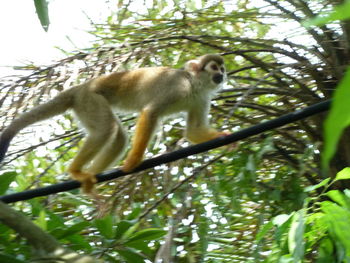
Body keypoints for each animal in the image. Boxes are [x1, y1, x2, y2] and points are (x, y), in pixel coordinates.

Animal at [0, 53, 228, 195]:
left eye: (222, 69)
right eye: (214, 67)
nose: (221, 74)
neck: (194, 84)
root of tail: (80, 88)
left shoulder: (202, 98)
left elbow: (194, 130)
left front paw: (221, 137)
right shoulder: (177, 87)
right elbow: (150, 113)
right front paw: (134, 160)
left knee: (117, 136)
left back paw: (89, 178)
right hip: (90, 100)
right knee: (105, 130)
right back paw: (75, 171)